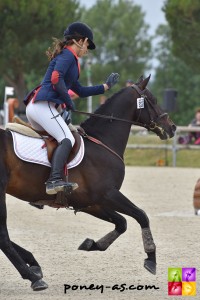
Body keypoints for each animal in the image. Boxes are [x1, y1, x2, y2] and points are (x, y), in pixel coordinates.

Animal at [0, 75, 175, 290]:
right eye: (153, 100)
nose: (172, 127)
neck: (102, 142)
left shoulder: (91, 202)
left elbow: (122, 222)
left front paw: (92, 244)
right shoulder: (109, 194)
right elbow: (141, 215)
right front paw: (151, 258)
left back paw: (33, 264)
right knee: (3, 237)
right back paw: (33, 277)